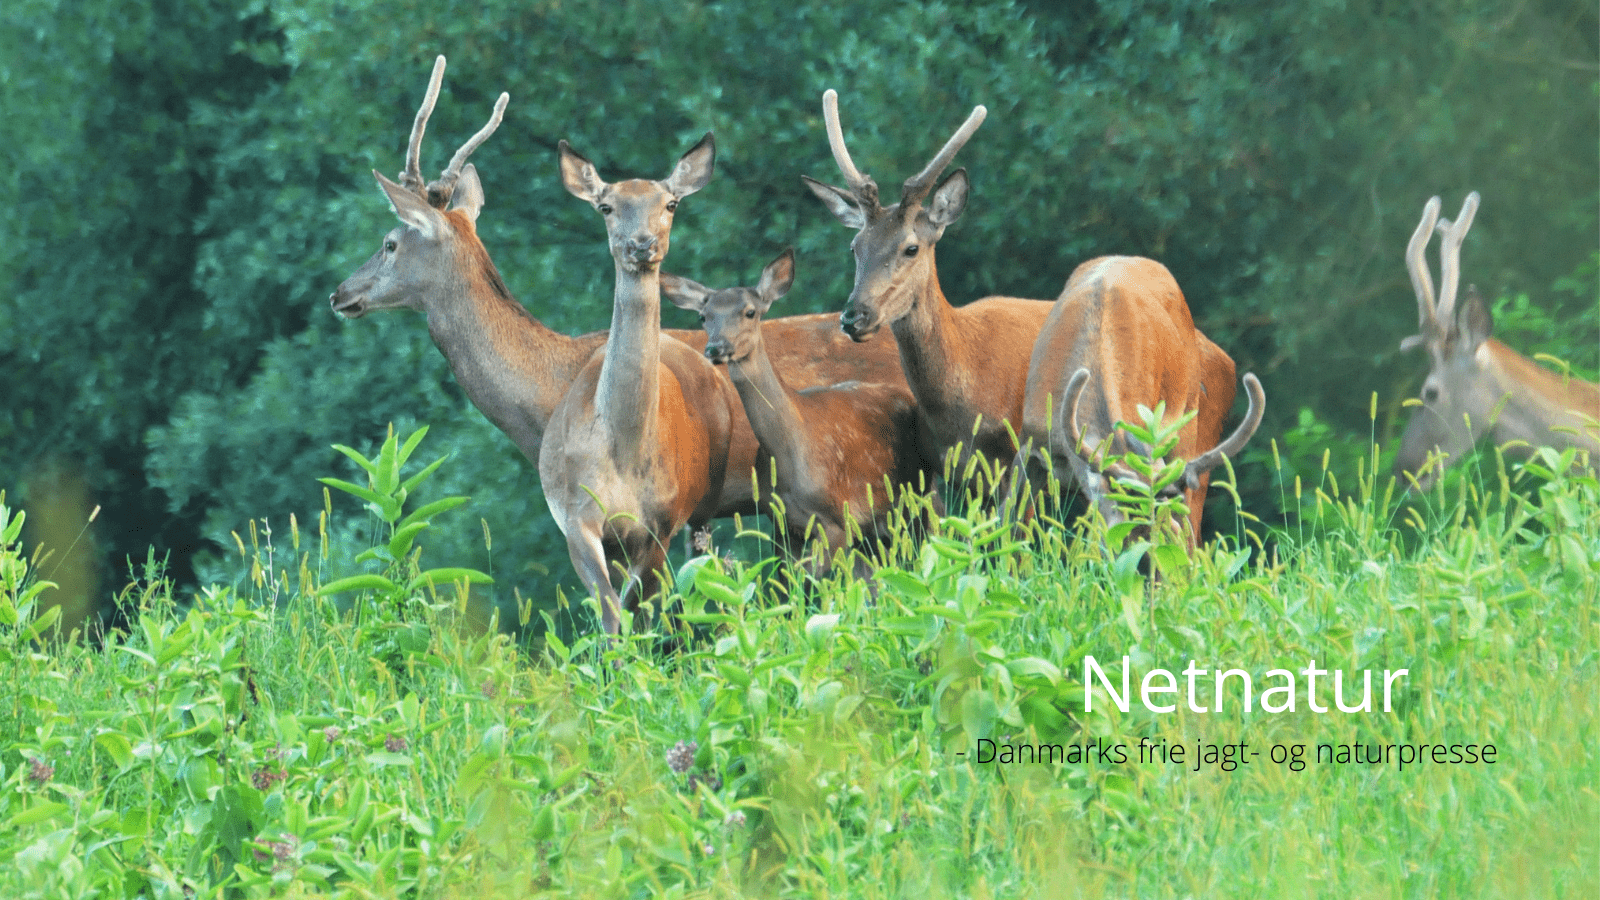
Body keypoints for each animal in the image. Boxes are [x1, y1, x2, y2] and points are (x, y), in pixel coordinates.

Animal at [661, 248, 936, 577]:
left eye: (750, 312)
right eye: (704, 316)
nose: (716, 348)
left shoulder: (837, 520)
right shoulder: (783, 522)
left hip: (914, 497)